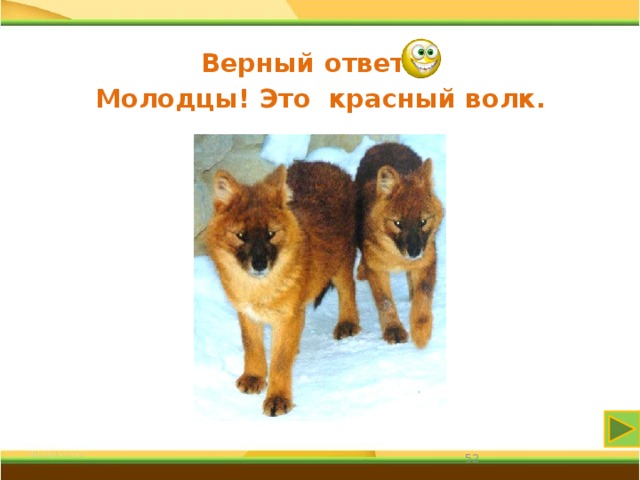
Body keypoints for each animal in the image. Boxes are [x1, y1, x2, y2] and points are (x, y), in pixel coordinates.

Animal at [205, 161, 360, 416]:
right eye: (241, 236)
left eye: (271, 234)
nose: (259, 264)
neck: (259, 290)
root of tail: (328, 164)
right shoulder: (247, 313)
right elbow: (252, 347)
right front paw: (254, 377)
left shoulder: (287, 315)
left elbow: (279, 363)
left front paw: (278, 399)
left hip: (340, 263)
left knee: (349, 289)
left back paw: (348, 323)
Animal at [355, 143, 444, 349]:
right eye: (398, 223)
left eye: (423, 221)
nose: (414, 252)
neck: (397, 258)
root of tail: (386, 143)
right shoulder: (377, 269)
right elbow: (385, 302)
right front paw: (393, 330)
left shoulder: (427, 261)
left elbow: (422, 297)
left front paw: (420, 333)